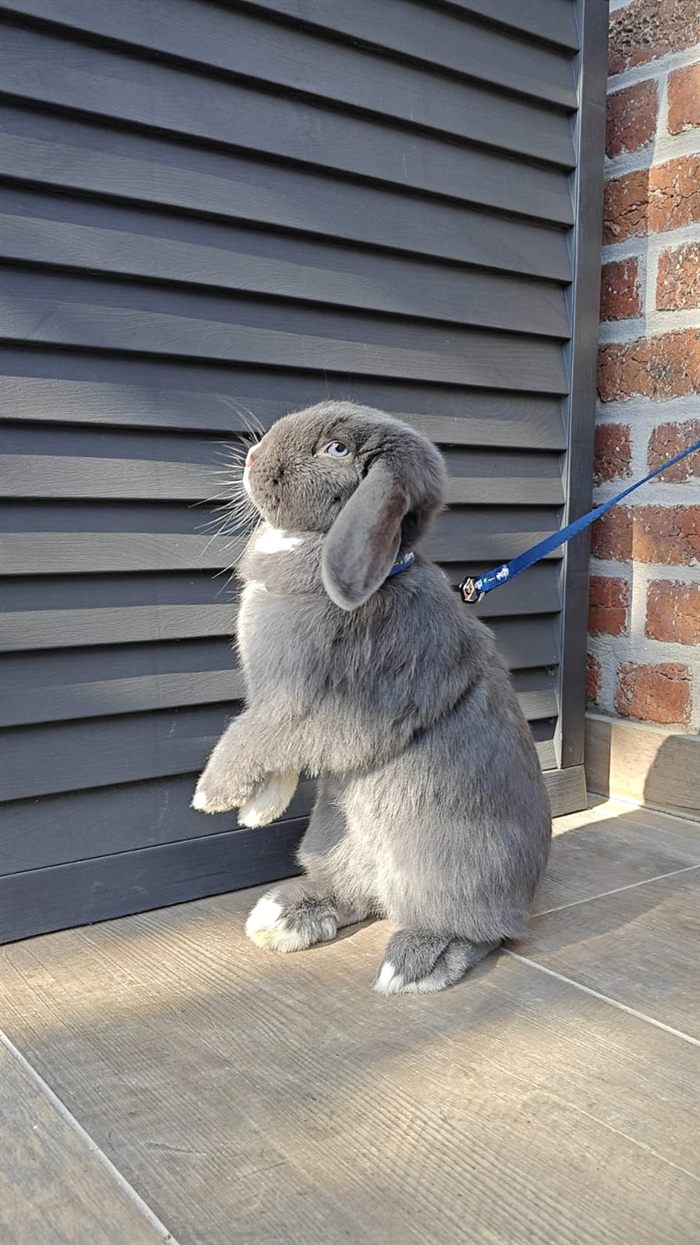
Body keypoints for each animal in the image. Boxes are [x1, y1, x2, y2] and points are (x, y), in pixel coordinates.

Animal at [193, 400, 552, 994]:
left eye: (335, 450)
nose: (252, 457)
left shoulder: (305, 705)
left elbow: (253, 737)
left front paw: (214, 795)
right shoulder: (279, 701)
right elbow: (276, 757)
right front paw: (259, 811)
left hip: (448, 870)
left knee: (482, 930)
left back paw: (416, 963)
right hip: (333, 836)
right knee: (354, 895)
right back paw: (284, 917)